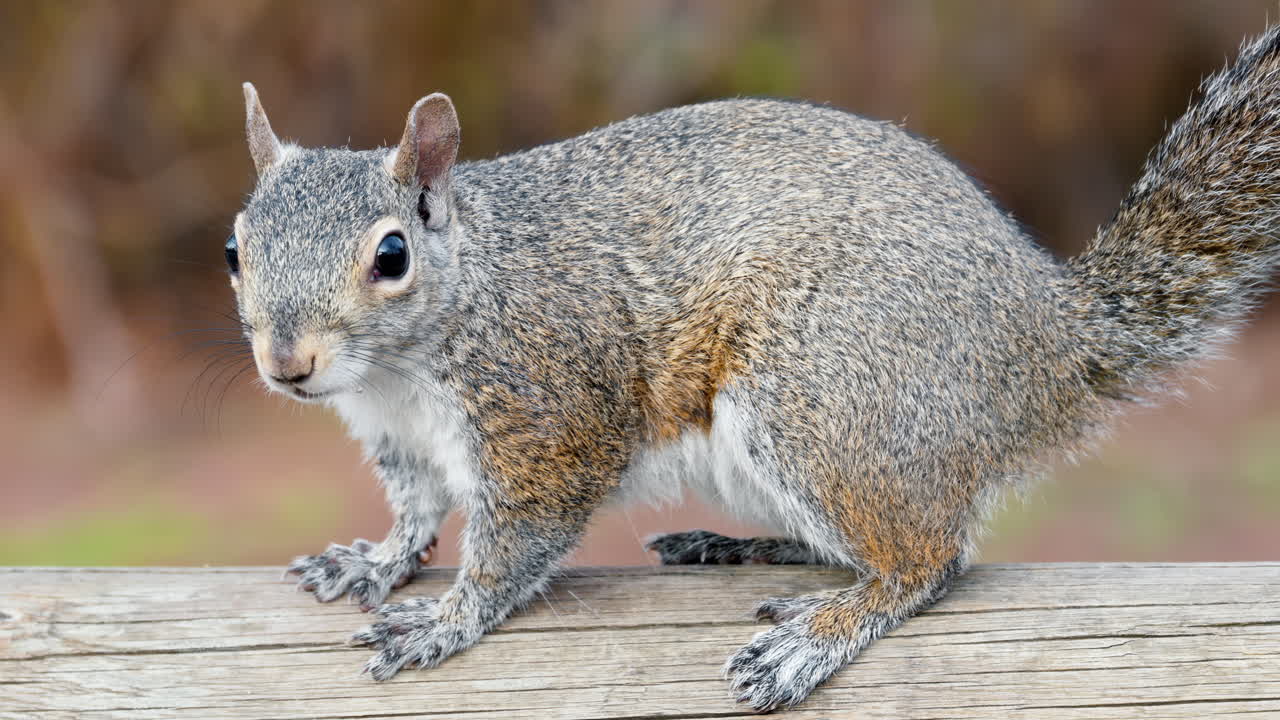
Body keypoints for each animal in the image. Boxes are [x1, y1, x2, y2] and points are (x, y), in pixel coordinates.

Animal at [227, 25, 1280, 712]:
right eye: (236, 249)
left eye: (392, 254)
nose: (286, 363)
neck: (403, 367)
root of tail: (1049, 343)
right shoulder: (399, 440)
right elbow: (415, 514)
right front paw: (374, 562)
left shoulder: (547, 418)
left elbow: (513, 545)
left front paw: (445, 620)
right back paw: (742, 548)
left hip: (818, 398)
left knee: (928, 559)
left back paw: (816, 635)